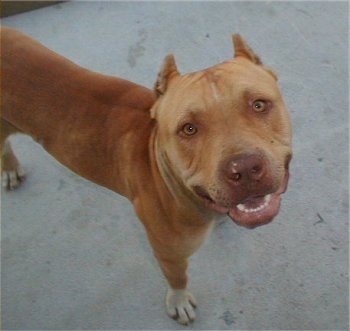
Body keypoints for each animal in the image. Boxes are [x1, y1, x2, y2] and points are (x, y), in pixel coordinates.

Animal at [1, 26, 292, 326]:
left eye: (259, 105)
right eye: (188, 129)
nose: (244, 169)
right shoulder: (168, 252)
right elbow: (178, 277)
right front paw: (179, 300)